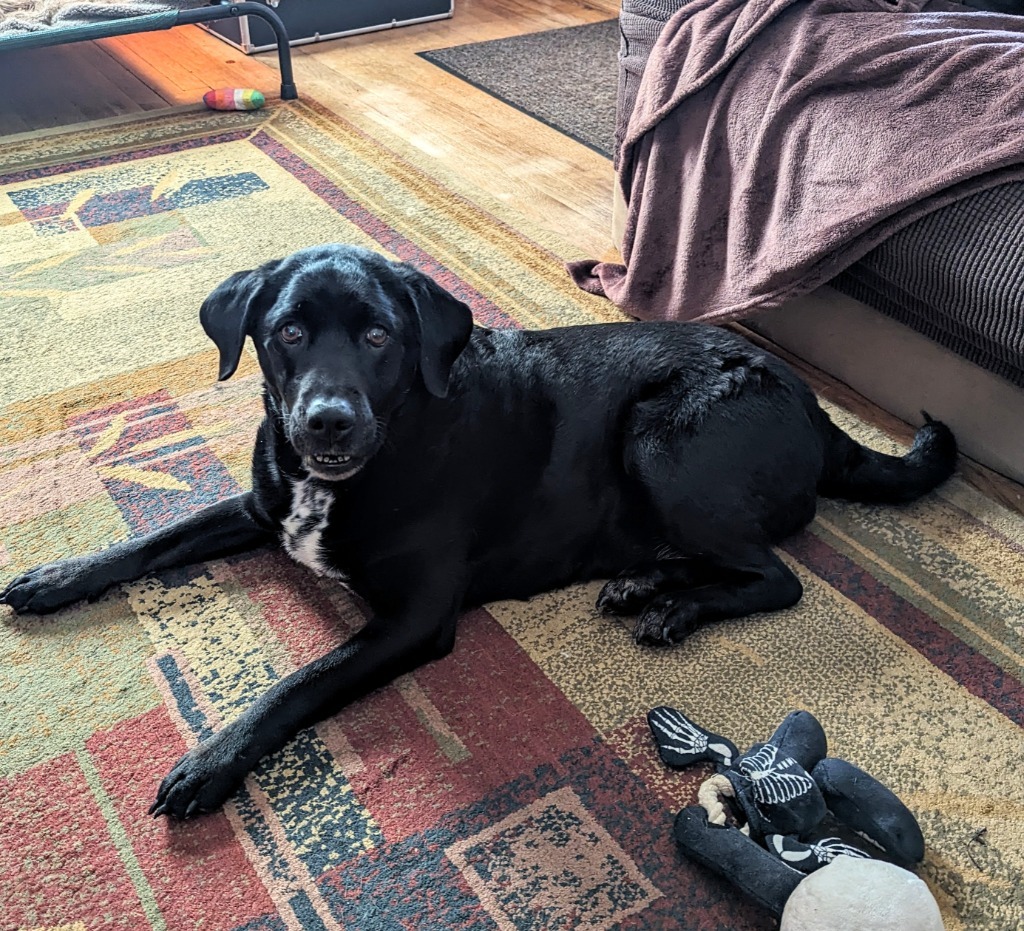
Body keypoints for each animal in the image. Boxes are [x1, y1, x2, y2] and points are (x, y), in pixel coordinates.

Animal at [2, 243, 958, 819]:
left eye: (379, 336)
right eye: (288, 332)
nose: (326, 421)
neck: (372, 457)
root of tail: (813, 404)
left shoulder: (413, 619)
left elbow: (295, 686)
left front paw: (212, 760)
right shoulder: (256, 506)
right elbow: (151, 540)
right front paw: (54, 578)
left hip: (662, 441)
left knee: (776, 575)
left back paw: (672, 607)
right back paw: (645, 583)